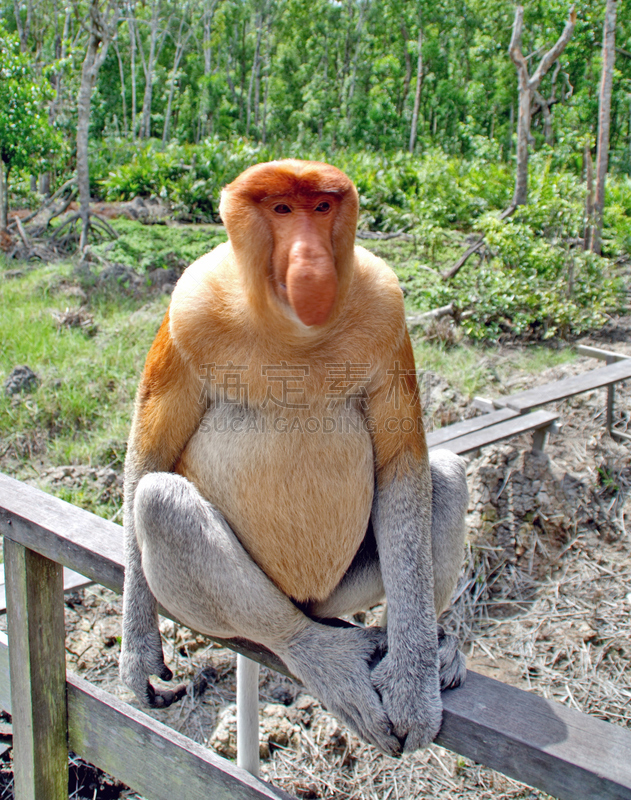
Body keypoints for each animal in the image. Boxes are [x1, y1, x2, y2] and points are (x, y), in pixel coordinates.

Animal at [121, 159, 470, 752]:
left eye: (322, 208)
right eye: (282, 210)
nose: (311, 260)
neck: (293, 330)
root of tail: (307, 603)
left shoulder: (386, 310)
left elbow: (401, 468)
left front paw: (411, 689)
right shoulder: (186, 310)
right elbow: (151, 455)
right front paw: (137, 652)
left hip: (343, 591)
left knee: (443, 478)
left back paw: (432, 645)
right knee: (160, 501)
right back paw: (317, 652)